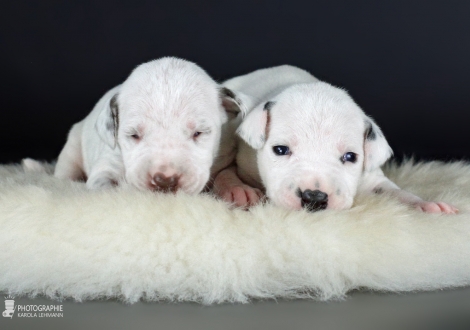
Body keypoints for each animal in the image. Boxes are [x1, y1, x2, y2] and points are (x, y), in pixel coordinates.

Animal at [54, 58, 246, 195]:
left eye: (198, 132)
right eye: (133, 135)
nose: (165, 180)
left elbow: (225, 174)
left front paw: (237, 191)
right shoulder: (107, 166)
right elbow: (106, 185)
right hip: (72, 149)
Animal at [215, 65, 458, 214]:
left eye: (350, 156)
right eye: (280, 150)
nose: (314, 197)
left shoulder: (371, 178)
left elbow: (396, 191)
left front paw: (426, 205)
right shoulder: (242, 157)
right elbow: (226, 171)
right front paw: (238, 190)